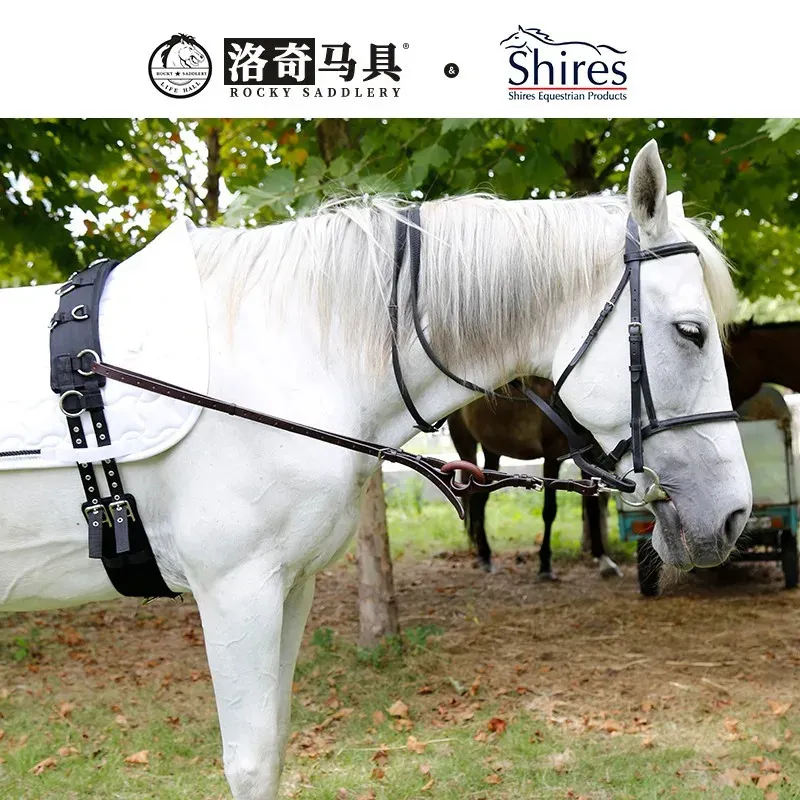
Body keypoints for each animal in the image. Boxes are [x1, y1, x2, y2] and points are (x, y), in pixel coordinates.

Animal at [0, 141, 752, 799]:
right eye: (691, 332)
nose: (734, 514)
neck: (287, 355)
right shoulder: (235, 589)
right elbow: (250, 762)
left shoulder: (288, 586)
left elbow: (275, 749)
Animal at [451, 320, 800, 578]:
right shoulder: (552, 455)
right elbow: (550, 510)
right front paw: (546, 565)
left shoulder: (587, 457)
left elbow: (592, 505)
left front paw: (603, 560)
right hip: (467, 445)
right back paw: (484, 556)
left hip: (492, 450)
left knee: (479, 497)